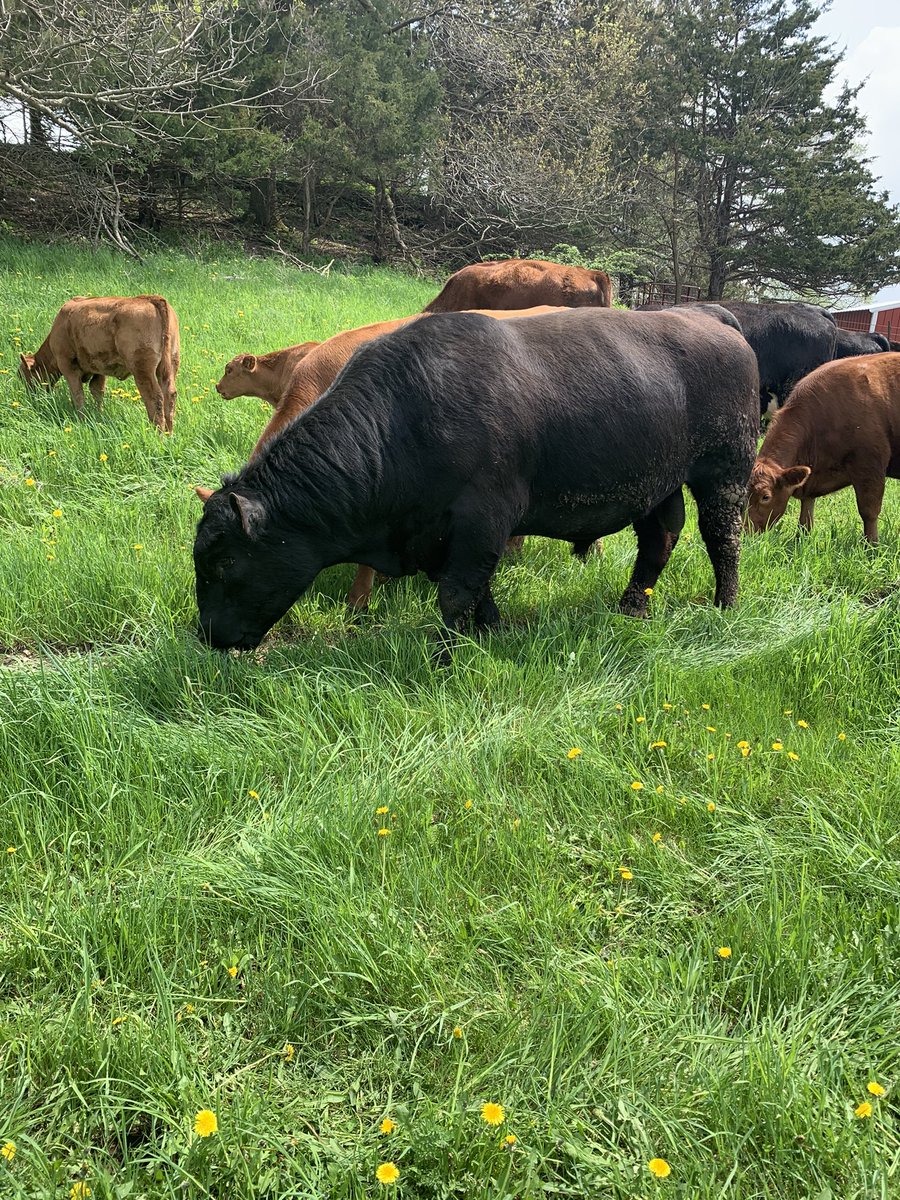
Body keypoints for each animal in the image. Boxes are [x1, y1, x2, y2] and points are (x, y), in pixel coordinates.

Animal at [19, 295, 180, 432]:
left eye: (22, 374)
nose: (30, 396)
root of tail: (152, 299)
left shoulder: (68, 367)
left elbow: (78, 394)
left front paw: (81, 419)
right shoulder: (99, 370)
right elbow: (97, 391)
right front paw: (98, 414)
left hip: (142, 370)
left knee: (155, 398)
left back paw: (159, 434)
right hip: (170, 364)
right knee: (169, 394)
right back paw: (169, 434)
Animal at [193, 306, 758, 655]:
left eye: (224, 563)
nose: (208, 636)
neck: (404, 417)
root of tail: (709, 316)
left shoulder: (483, 519)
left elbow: (457, 594)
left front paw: (446, 657)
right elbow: (477, 591)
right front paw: (493, 631)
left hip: (723, 471)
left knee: (721, 537)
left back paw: (724, 605)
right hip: (658, 485)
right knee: (658, 539)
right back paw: (631, 607)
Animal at [747, 353, 900, 543]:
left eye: (765, 497)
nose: (745, 533)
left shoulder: (870, 466)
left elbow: (869, 512)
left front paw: (871, 545)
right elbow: (805, 517)